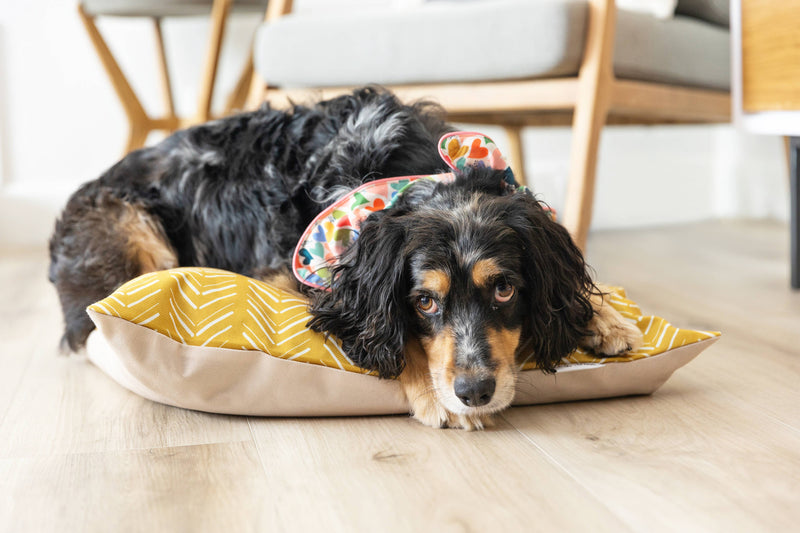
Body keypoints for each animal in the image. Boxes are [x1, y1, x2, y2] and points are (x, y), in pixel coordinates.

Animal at [50, 86, 640, 428]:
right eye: (423, 301)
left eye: (504, 289)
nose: (473, 392)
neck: (398, 173)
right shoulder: (288, 272)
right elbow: (387, 331)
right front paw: (432, 392)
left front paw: (606, 316)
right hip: (132, 224)